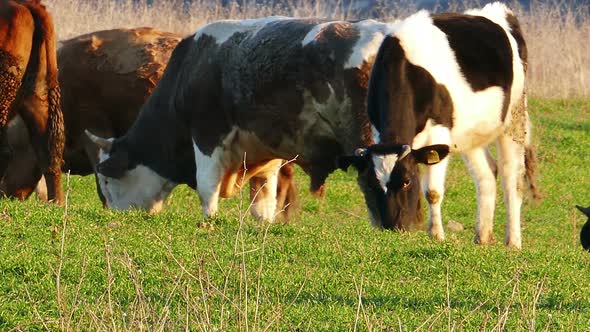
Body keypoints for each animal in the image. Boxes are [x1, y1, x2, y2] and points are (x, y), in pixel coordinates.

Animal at [85, 16, 400, 223]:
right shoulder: (266, 150)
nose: (115, 218)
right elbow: (263, 200)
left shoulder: (207, 135)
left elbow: (206, 186)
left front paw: (209, 221)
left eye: (107, 181)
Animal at [338, 1, 540, 246]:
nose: (392, 227)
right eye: (369, 183)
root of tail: (497, 11)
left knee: (512, 177)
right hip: (468, 132)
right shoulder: (378, 131)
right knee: (487, 174)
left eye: (406, 181)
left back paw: (513, 242)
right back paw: (482, 237)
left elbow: (432, 192)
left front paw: (436, 235)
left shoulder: (439, 133)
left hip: (515, 115)